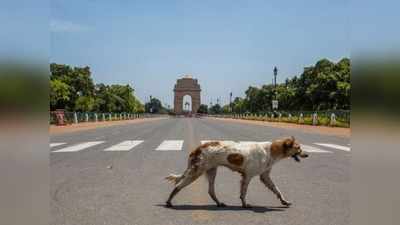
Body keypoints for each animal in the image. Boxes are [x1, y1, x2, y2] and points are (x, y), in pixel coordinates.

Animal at [166, 135, 310, 207]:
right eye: (298, 148)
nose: (307, 155)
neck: (271, 151)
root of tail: (197, 148)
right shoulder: (248, 176)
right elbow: (244, 193)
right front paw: (244, 204)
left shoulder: (264, 176)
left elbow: (277, 190)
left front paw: (284, 201)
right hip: (196, 171)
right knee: (178, 186)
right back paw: (169, 202)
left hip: (211, 171)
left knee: (211, 191)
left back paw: (219, 203)